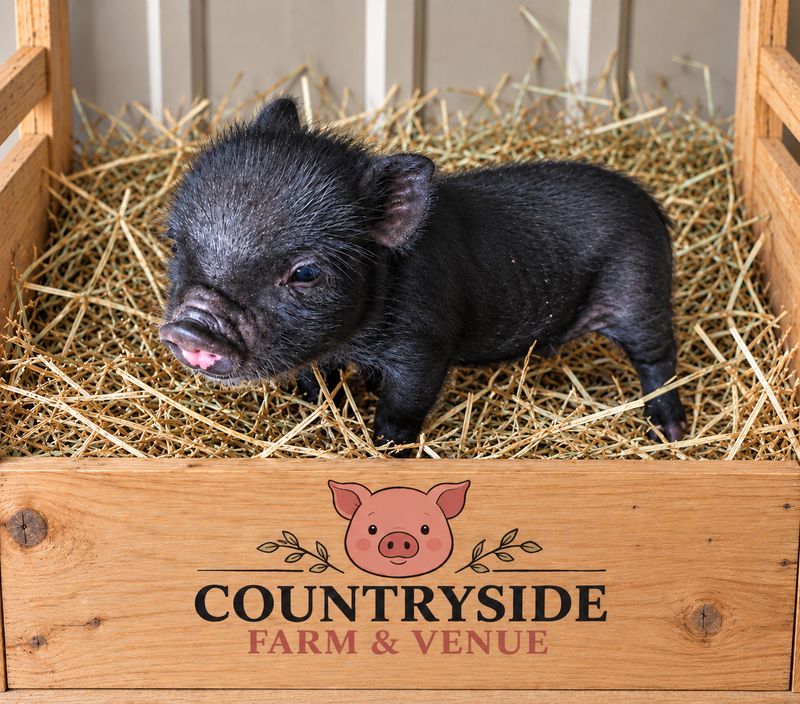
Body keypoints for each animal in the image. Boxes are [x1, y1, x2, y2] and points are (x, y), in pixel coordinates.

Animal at [159, 96, 686, 451]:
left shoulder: (424, 345)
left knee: (659, 360)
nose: (190, 326)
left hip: (640, 291)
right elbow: (317, 382)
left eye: (305, 273)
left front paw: (386, 450)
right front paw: (323, 411)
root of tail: (650, 204)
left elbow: (402, 407)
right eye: (177, 244)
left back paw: (671, 431)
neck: (354, 342)